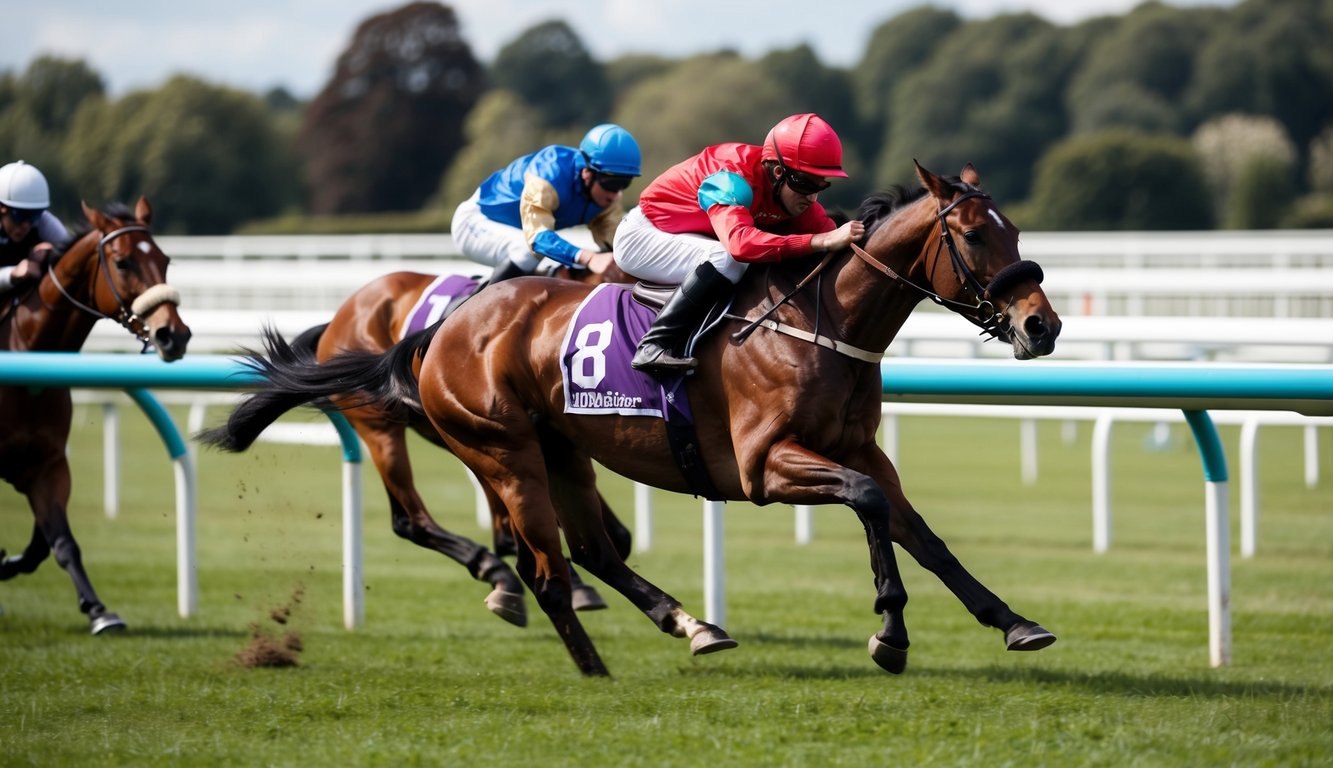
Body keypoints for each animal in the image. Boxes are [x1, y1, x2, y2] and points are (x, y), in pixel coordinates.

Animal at [0, 196, 193, 629]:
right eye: (122, 263)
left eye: (166, 259)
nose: (173, 334)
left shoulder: (47, 465)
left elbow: (55, 543)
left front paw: (99, 610)